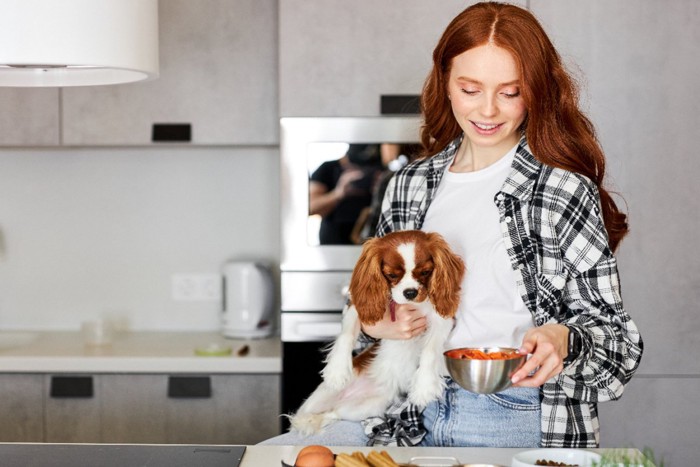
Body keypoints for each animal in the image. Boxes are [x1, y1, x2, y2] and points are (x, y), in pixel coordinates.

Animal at [290, 230, 464, 436]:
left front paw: (424, 387)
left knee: (335, 414)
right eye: (391, 275)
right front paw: (337, 371)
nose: (410, 292)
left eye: (425, 272)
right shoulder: (358, 306)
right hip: (318, 398)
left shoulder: (442, 320)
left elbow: (429, 351)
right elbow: (346, 335)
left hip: (369, 407)